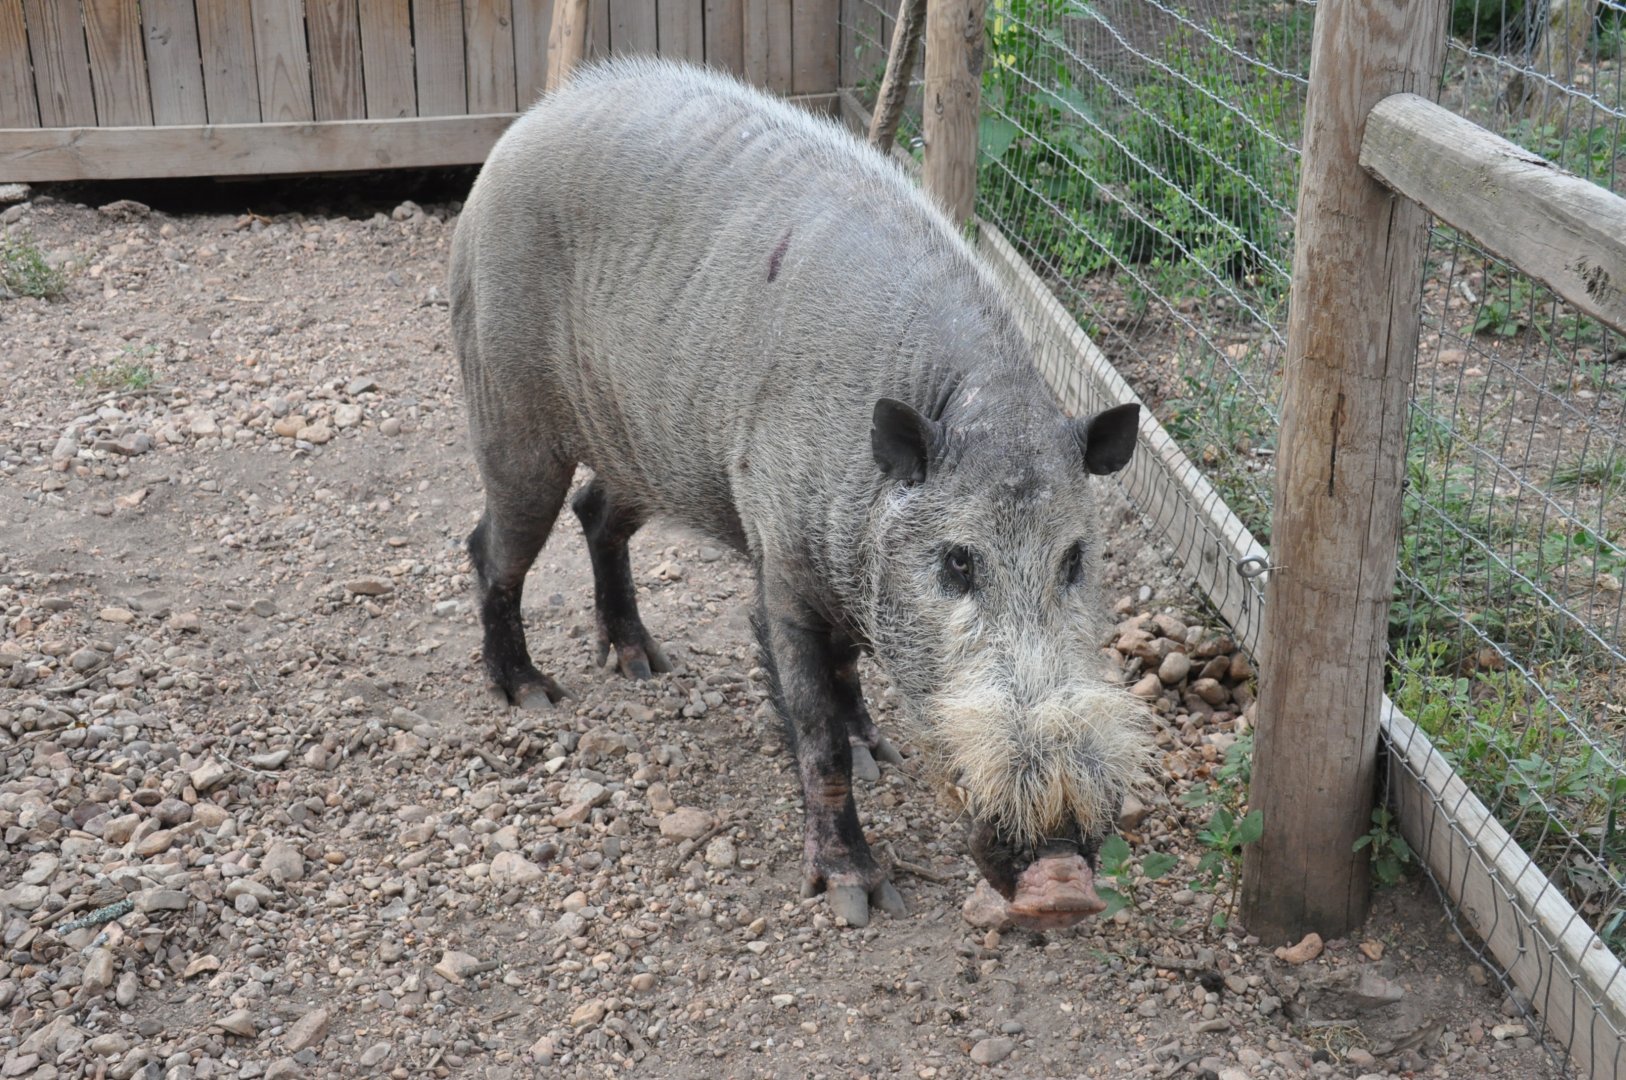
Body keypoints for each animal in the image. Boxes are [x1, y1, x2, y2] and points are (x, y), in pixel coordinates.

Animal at [450, 58, 1152, 929]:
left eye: (1075, 559)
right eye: (958, 562)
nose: (1062, 886)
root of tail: (518, 130)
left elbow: (849, 679)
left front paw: (880, 751)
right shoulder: (781, 556)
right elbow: (817, 731)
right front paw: (858, 896)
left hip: (650, 449)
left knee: (596, 515)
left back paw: (644, 663)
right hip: (508, 418)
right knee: (491, 550)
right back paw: (533, 694)